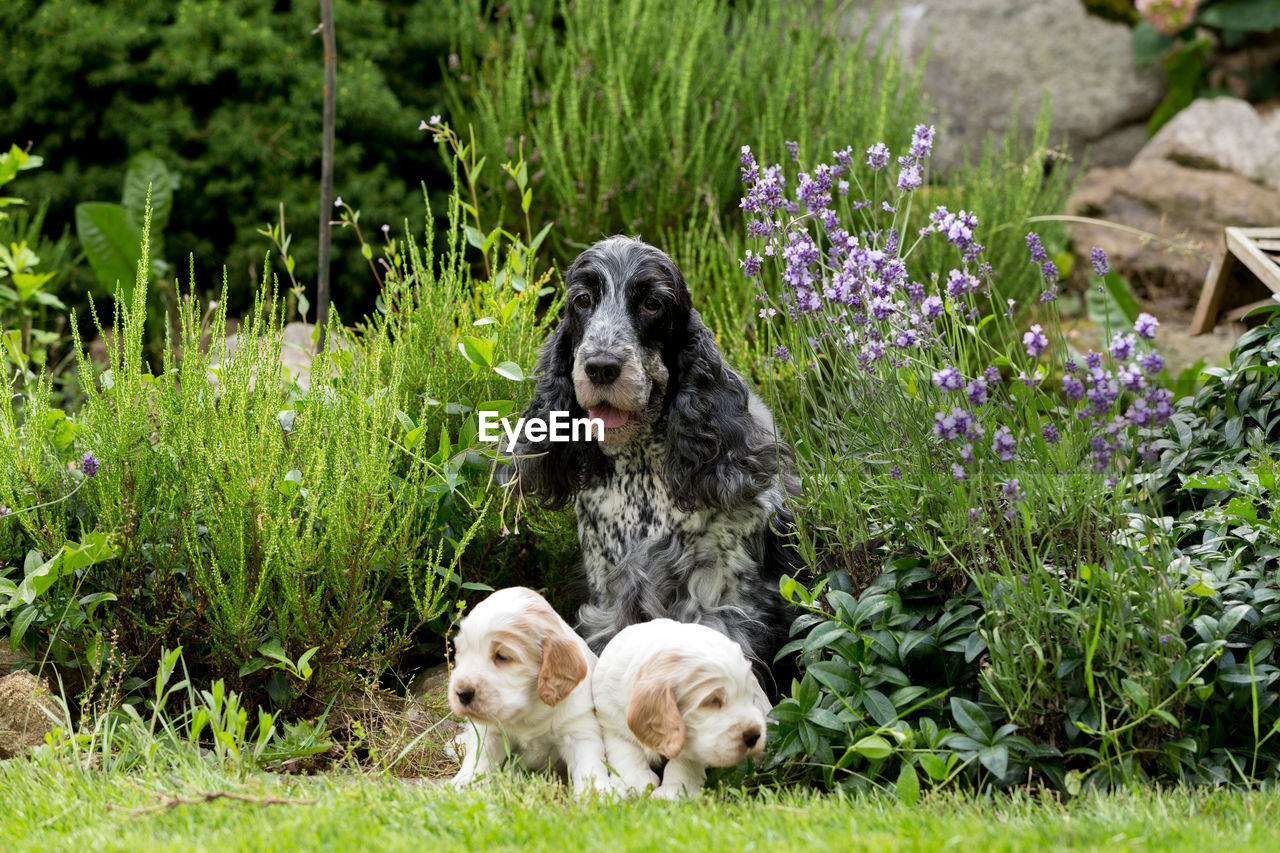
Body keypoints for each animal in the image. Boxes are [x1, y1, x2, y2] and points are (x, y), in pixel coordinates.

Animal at [448, 584, 611, 788]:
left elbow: (589, 767)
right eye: (461, 653)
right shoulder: (491, 732)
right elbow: (479, 758)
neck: (529, 710)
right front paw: (463, 783)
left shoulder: (579, 731)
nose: (462, 693)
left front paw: (598, 792)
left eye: (502, 656)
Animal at [501, 235, 793, 696]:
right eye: (582, 300)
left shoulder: (717, 599)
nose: (601, 367)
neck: (640, 477)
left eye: (653, 304)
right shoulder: (609, 597)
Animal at [591, 617, 762, 799]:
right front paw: (633, 784)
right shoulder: (611, 719)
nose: (754, 735)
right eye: (712, 700)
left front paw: (673, 791)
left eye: (751, 698)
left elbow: (683, 761)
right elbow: (626, 751)